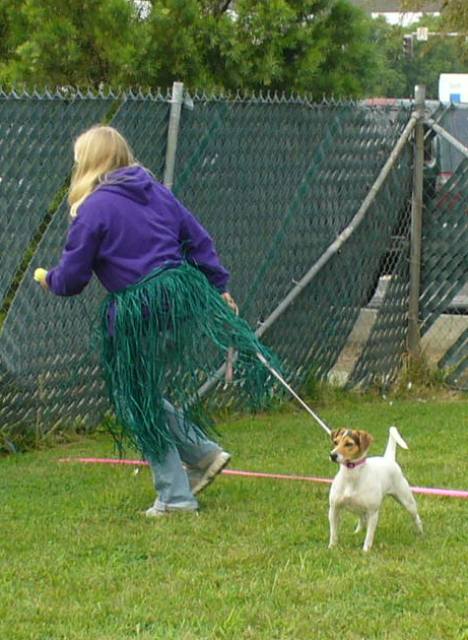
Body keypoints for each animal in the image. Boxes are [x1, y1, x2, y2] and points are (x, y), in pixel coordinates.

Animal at [328, 424, 422, 552]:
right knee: (362, 519)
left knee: (416, 517)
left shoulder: (373, 512)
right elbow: (333, 532)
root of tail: (388, 459)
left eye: (349, 444)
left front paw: (365, 550)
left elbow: (369, 535)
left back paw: (421, 532)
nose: (332, 455)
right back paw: (357, 532)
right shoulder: (334, 509)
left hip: (407, 501)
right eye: (335, 442)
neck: (351, 477)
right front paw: (332, 547)